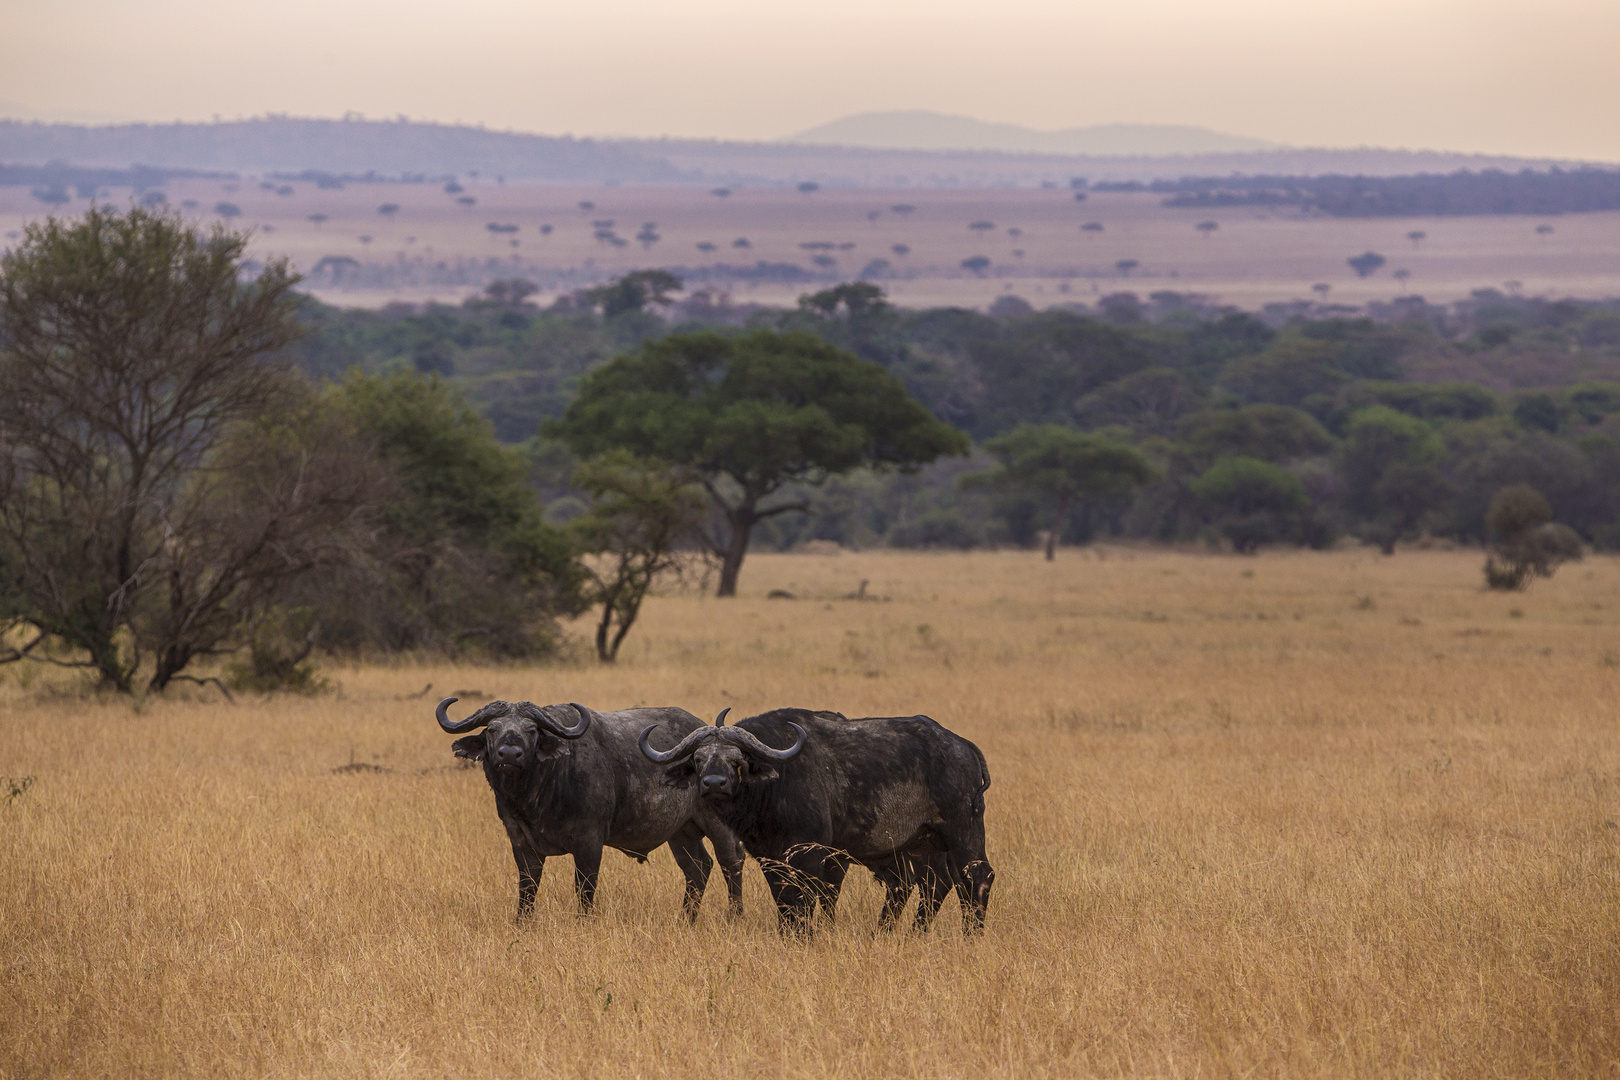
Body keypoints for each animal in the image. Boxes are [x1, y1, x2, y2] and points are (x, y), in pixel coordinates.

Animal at [440, 702, 748, 919]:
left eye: (531, 730)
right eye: (493, 729)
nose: (509, 754)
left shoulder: (589, 842)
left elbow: (584, 889)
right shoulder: (521, 842)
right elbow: (527, 888)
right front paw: (522, 923)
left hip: (717, 824)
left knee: (731, 861)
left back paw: (734, 917)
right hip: (681, 832)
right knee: (698, 868)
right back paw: (685, 919)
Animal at [638, 705, 991, 932]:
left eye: (736, 760)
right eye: (698, 759)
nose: (714, 784)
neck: (777, 784)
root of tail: (963, 746)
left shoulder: (811, 854)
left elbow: (806, 899)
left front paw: (806, 936)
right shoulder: (770, 858)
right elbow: (783, 900)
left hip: (963, 831)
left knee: (977, 877)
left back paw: (971, 936)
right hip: (925, 843)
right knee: (935, 884)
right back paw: (909, 933)